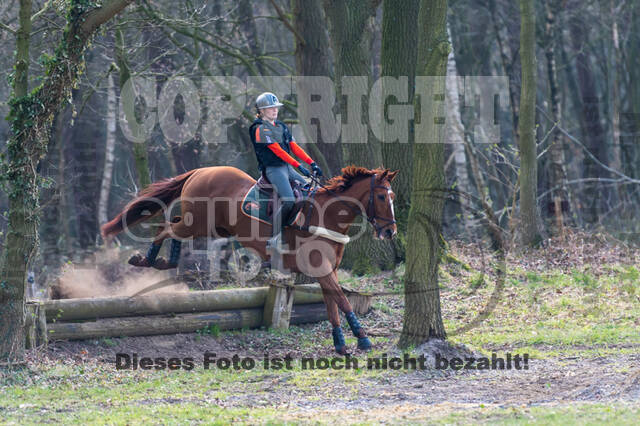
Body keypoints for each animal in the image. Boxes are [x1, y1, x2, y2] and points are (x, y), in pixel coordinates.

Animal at [102, 165, 398, 354]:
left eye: (392, 196)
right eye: (381, 196)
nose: (390, 232)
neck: (326, 215)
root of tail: (201, 171)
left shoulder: (327, 271)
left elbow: (332, 305)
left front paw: (340, 343)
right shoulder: (323, 270)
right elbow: (343, 301)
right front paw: (363, 340)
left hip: (209, 227)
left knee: (173, 225)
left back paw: (165, 262)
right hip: (197, 222)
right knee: (166, 228)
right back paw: (145, 260)